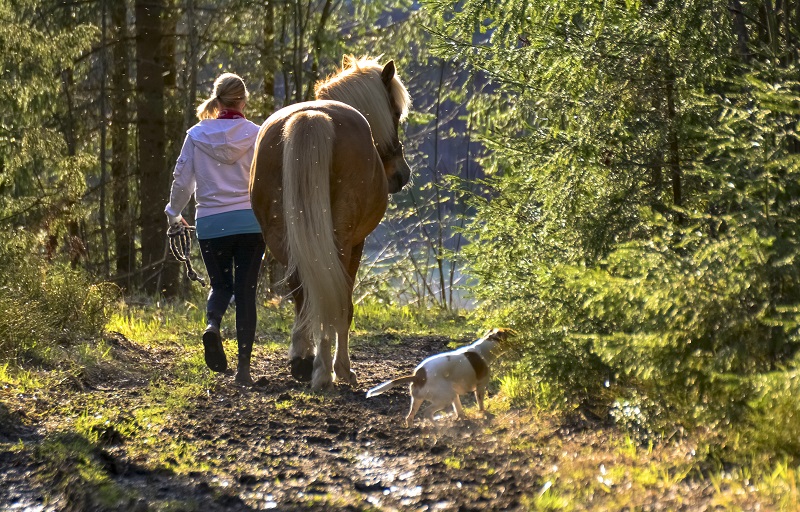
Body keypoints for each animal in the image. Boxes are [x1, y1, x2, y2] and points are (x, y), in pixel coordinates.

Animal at [249, 56, 412, 390]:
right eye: (395, 112)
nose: (401, 174)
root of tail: (312, 117)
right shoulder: (357, 244)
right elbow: (345, 306)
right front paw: (343, 369)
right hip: (339, 239)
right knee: (331, 298)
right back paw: (326, 371)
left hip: (282, 238)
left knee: (304, 291)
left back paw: (302, 361)